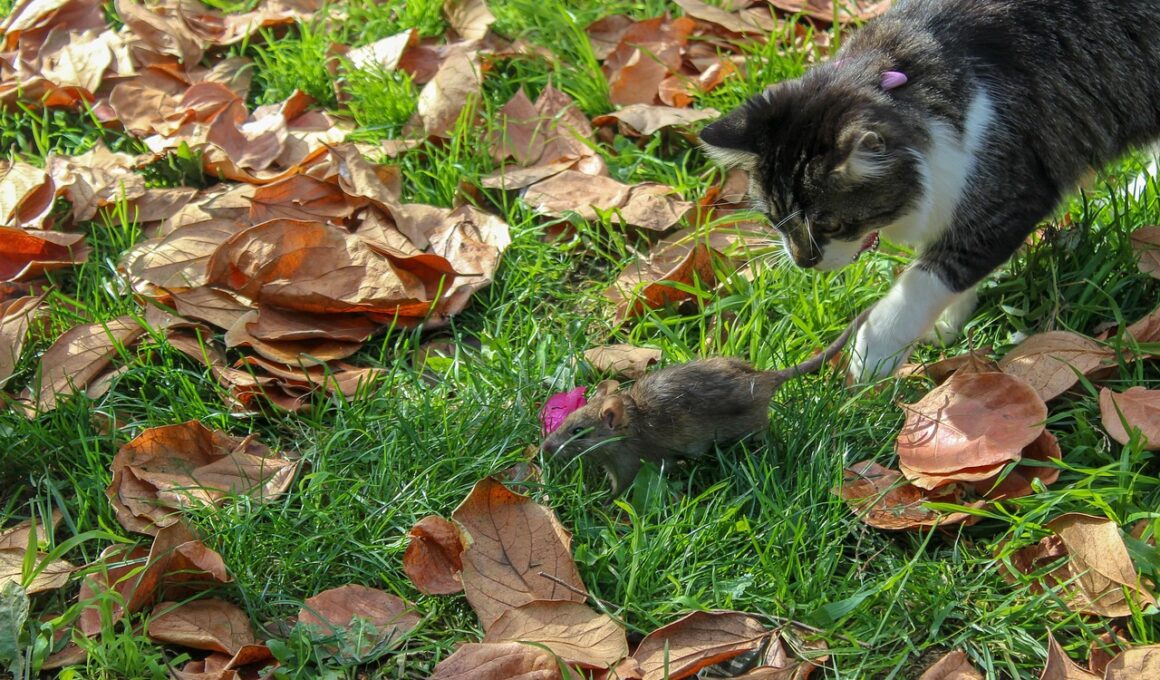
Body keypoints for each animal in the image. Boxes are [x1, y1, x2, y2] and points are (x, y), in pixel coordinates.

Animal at [699, 0, 1160, 380]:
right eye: (775, 220)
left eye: (830, 225)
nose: (803, 261)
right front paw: (946, 321)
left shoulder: (1007, 199)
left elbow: (926, 281)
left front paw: (874, 352)